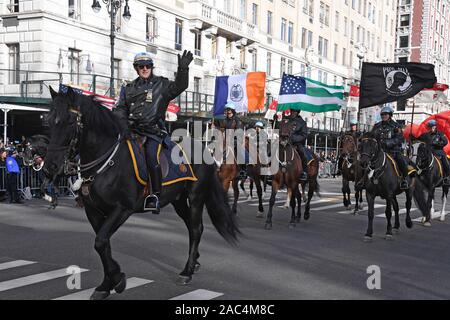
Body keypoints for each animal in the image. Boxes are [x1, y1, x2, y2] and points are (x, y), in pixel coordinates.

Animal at [42, 86, 239, 298]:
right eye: (48, 122)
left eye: (70, 122)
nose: (49, 168)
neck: (107, 162)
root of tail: (203, 148)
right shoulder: (93, 211)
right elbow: (103, 245)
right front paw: (106, 284)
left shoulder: (123, 208)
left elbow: (101, 242)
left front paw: (118, 279)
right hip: (178, 200)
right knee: (191, 226)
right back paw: (194, 263)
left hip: (195, 197)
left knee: (196, 229)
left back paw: (187, 272)